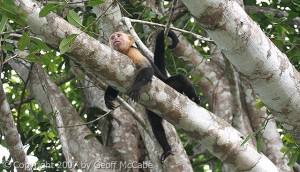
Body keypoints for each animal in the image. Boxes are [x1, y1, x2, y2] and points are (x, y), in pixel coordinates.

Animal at [105, 29, 202, 163]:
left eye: (118, 35)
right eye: (112, 37)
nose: (115, 39)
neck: (124, 52)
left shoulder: (133, 51)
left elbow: (146, 68)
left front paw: (136, 87)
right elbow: (115, 82)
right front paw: (107, 97)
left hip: (168, 85)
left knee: (181, 79)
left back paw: (195, 98)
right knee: (155, 124)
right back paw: (166, 148)